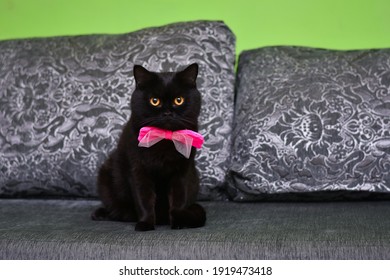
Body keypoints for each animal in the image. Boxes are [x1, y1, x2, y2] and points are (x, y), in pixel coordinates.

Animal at [92, 64, 207, 232]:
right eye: (154, 101)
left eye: (179, 100)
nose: (167, 113)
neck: (165, 139)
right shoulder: (138, 170)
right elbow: (144, 200)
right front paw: (145, 224)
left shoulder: (182, 171)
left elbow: (178, 199)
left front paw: (179, 221)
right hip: (106, 176)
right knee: (118, 209)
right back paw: (100, 213)